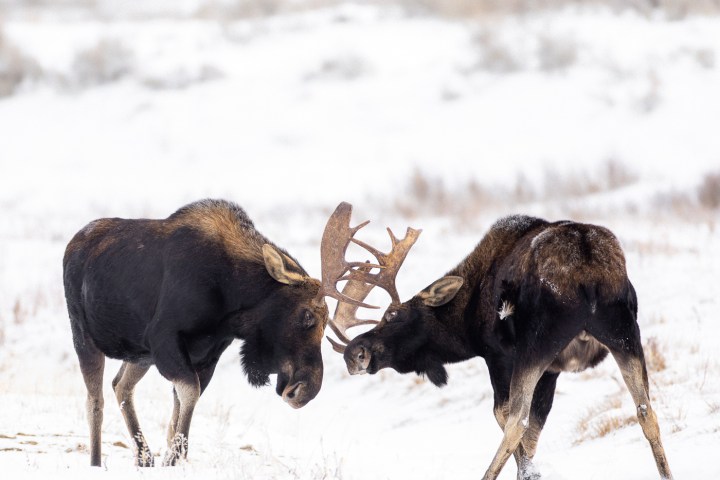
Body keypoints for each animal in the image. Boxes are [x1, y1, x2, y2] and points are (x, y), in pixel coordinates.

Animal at [63, 199, 373, 467]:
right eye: (307, 314)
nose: (306, 390)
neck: (231, 294)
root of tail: (72, 243)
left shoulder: (207, 354)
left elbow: (183, 404)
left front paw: (170, 458)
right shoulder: (164, 339)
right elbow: (189, 394)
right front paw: (173, 459)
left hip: (139, 355)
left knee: (120, 385)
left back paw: (144, 457)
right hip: (83, 336)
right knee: (95, 401)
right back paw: (96, 462)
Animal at [328, 213, 673, 480]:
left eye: (392, 314)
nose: (354, 353)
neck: (465, 321)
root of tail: (586, 268)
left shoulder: (498, 357)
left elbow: (506, 416)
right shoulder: (552, 372)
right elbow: (534, 432)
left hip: (538, 343)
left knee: (515, 420)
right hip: (624, 334)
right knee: (646, 411)